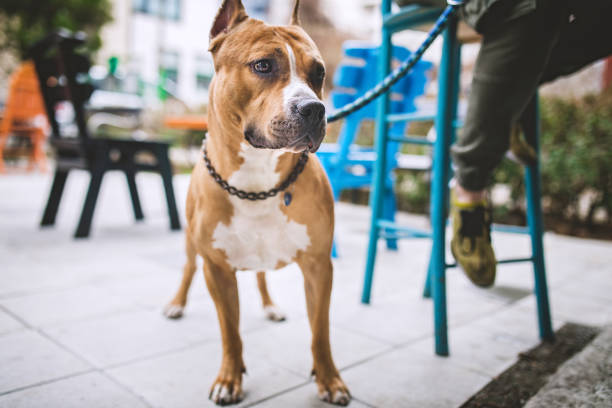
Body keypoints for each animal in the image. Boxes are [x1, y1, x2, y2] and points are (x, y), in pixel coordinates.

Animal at [164, 0, 350, 404]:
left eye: (319, 72)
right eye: (263, 65)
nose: (315, 108)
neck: (257, 178)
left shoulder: (319, 266)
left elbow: (321, 331)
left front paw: (330, 380)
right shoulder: (216, 269)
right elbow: (230, 332)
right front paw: (229, 379)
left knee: (263, 275)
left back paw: (270, 305)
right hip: (191, 245)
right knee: (187, 267)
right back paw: (176, 303)